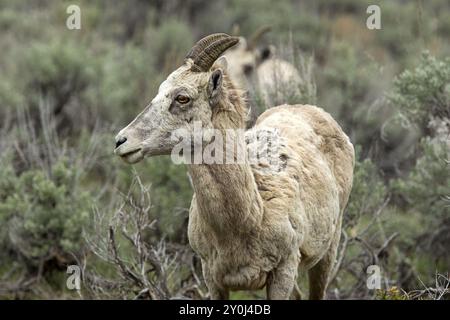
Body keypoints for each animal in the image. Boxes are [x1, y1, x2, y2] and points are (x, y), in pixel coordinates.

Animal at [115, 33, 356, 298]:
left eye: (182, 97)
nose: (121, 141)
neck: (249, 217)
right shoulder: (213, 278)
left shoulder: (283, 271)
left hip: (327, 253)